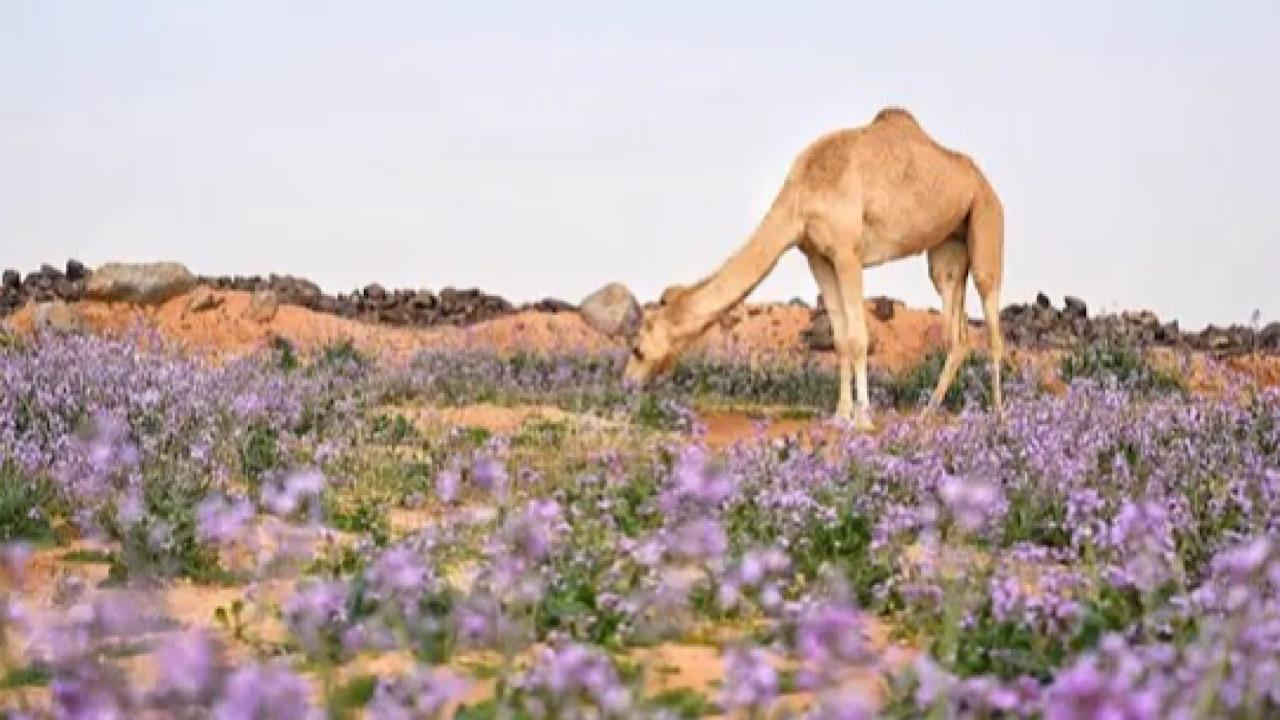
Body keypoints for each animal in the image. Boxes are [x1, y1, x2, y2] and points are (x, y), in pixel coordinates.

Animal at [624, 109, 1003, 427]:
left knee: (992, 320)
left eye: (637, 349)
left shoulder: (848, 252)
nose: (627, 382)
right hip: (947, 250)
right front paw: (840, 414)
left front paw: (864, 420)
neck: (802, 196)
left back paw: (998, 415)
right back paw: (927, 413)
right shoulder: (817, 256)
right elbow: (840, 338)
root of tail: (981, 178)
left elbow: (859, 337)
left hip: (986, 219)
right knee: (958, 333)